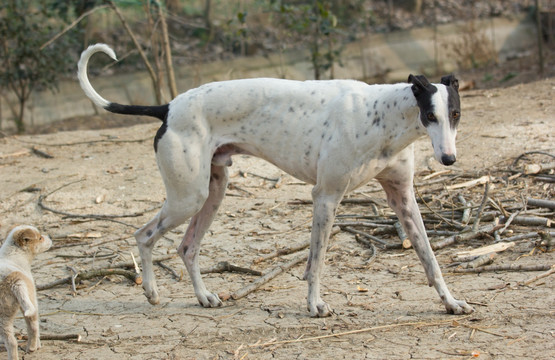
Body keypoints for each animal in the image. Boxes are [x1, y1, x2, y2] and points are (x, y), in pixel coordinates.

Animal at [0, 226, 51, 358]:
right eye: (40, 238)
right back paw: (31, 348)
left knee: (15, 339)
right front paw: (38, 345)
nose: (50, 236)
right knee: (26, 332)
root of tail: (14, 281)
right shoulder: (32, 298)